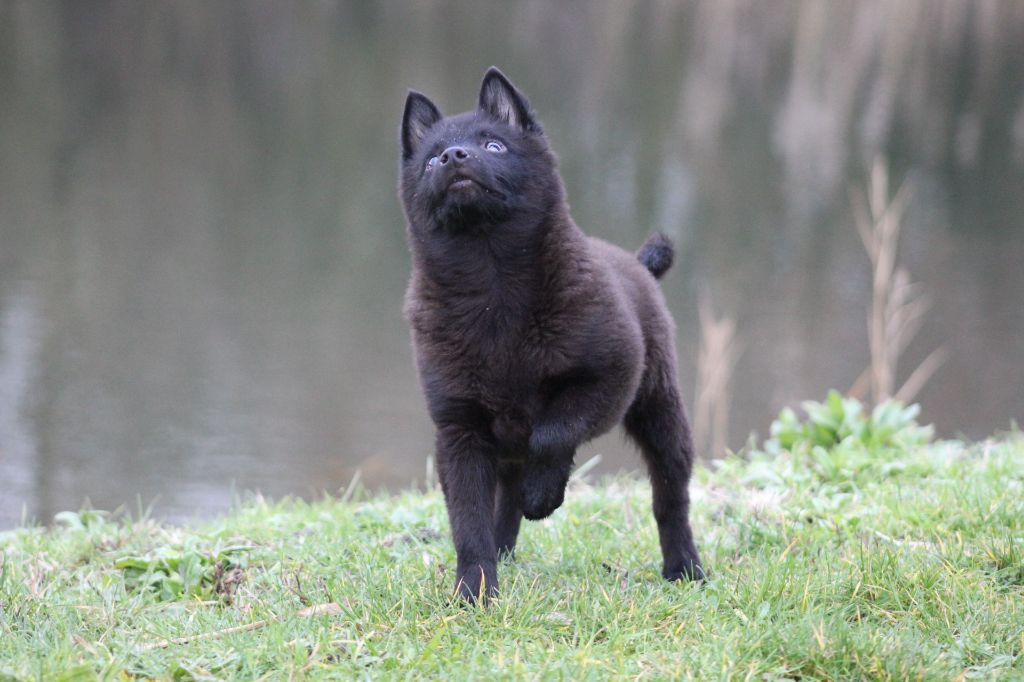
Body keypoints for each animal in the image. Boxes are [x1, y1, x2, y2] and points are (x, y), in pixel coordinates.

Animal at [399, 67, 704, 602]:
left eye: (494, 145)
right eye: (433, 158)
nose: (454, 157)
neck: (493, 290)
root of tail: (638, 263)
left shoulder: (609, 378)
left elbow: (553, 432)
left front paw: (543, 496)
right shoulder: (460, 428)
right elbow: (468, 518)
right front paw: (474, 592)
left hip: (659, 410)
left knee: (670, 498)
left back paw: (685, 567)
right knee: (503, 499)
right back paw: (503, 551)